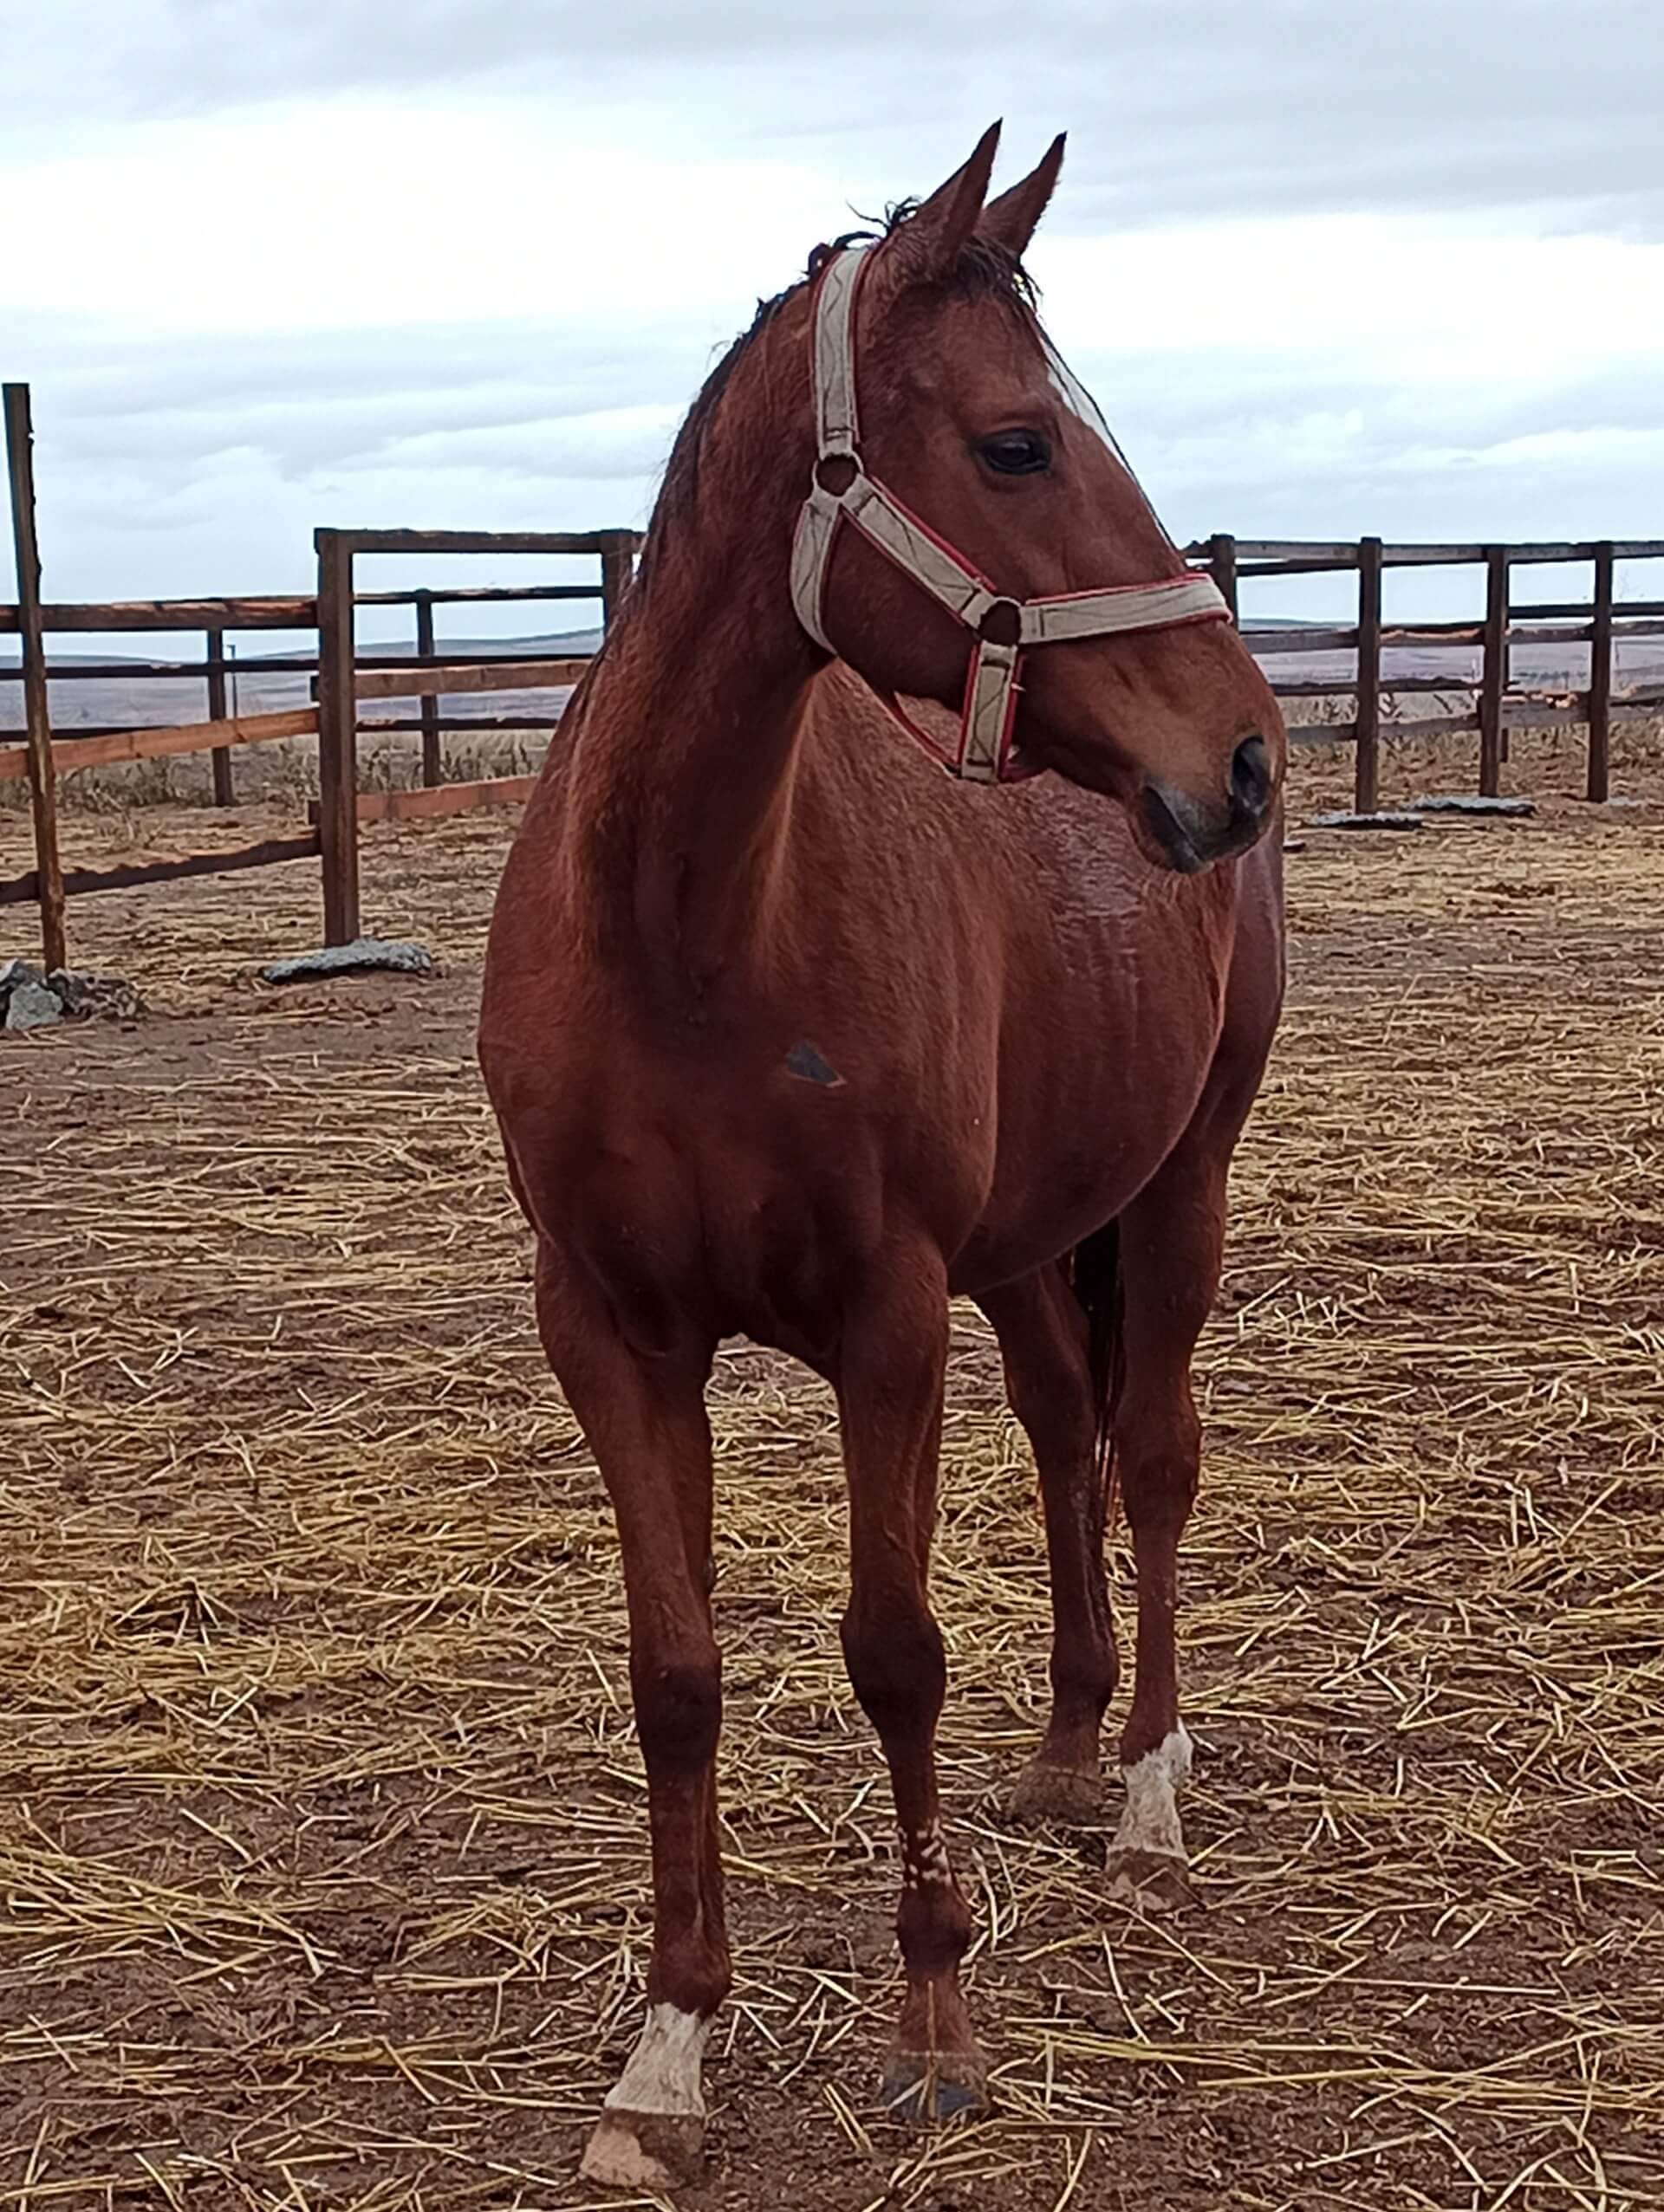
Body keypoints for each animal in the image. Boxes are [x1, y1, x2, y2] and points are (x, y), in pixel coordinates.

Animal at [480, 129, 1283, 2185]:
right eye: (1016, 443)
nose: (1246, 754)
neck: (689, 930)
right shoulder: (609, 1334)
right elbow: (676, 1673)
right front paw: (671, 2050)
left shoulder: (884, 1321)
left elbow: (893, 1647)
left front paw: (934, 2017)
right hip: (1030, 1246)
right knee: (1071, 1434)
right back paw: (1070, 1751)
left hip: (1179, 1187)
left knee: (1154, 1456)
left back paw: (1146, 1791)